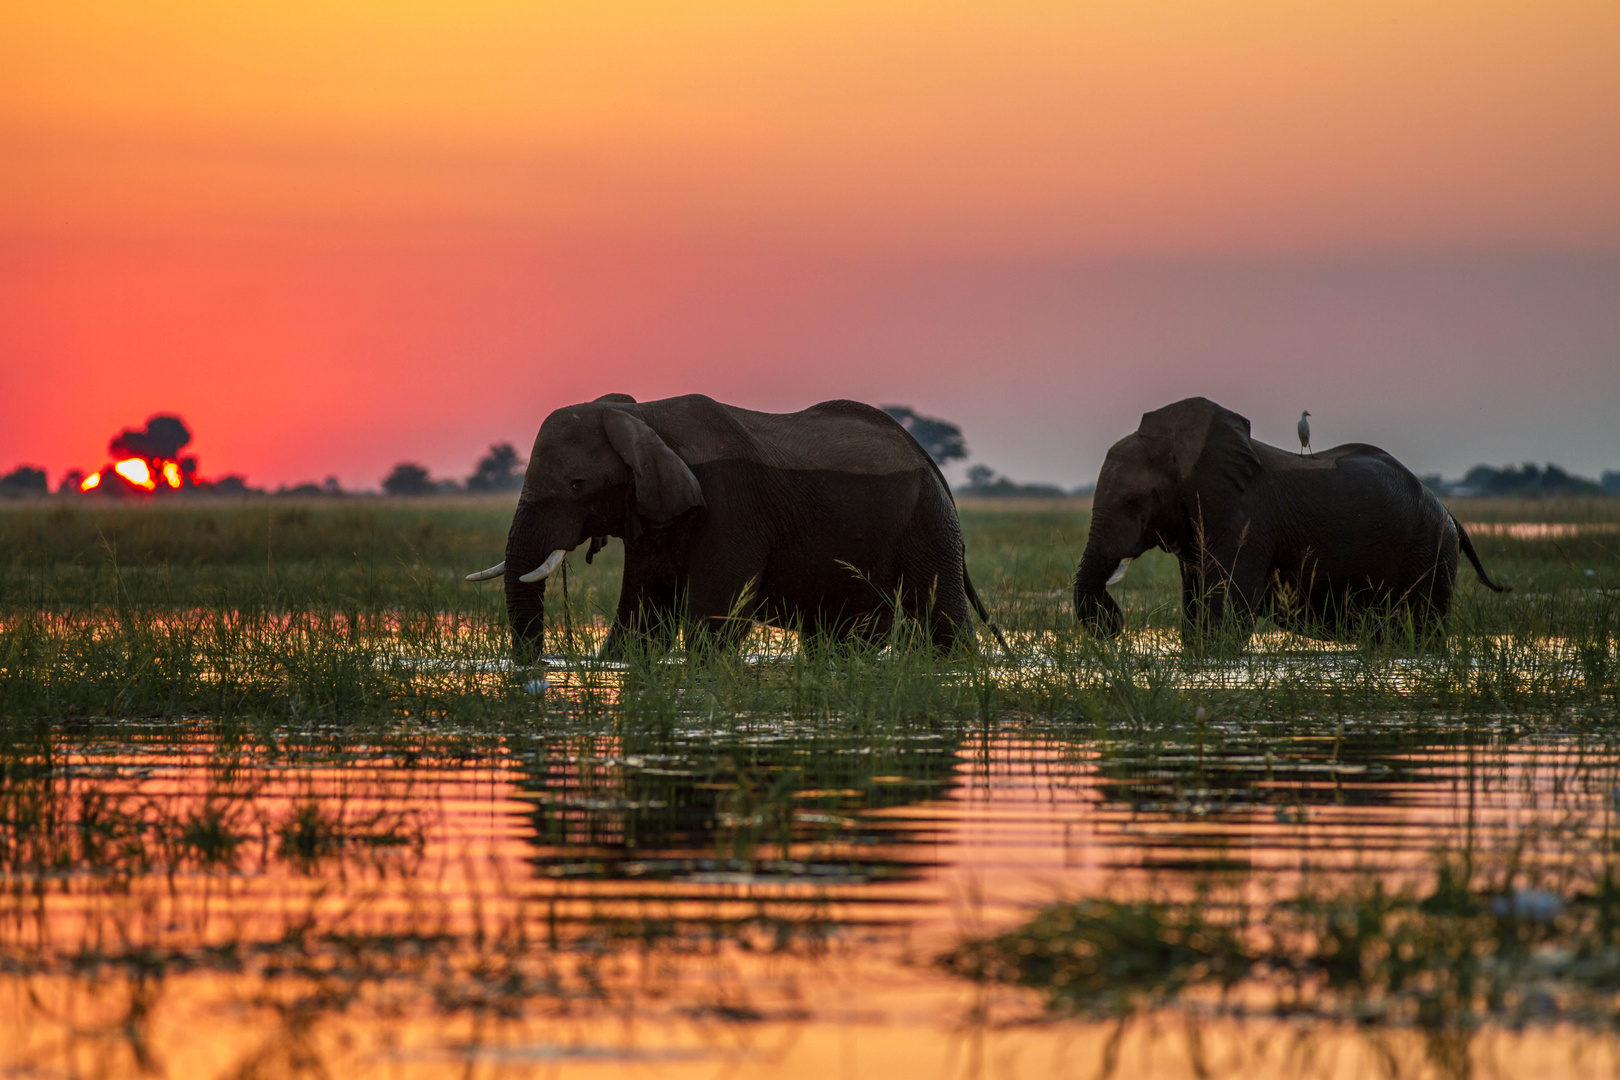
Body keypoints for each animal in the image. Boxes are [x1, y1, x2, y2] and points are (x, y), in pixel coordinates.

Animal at [463, 393, 1004, 654]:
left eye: (577, 484)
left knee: (942, 617)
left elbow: (712, 624)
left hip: (928, 522)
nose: (535, 671)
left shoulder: (732, 504)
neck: (643, 418)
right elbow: (641, 622)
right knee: (847, 634)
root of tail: (926, 454)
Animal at [1075, 399, 1503, 647]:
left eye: (1132, 502)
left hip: (1429, 553)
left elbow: (1226, 615)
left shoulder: (1245, 520)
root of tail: (1449, 511)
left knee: (1423, 629)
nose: (1113, 624)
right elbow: (1195, 611)